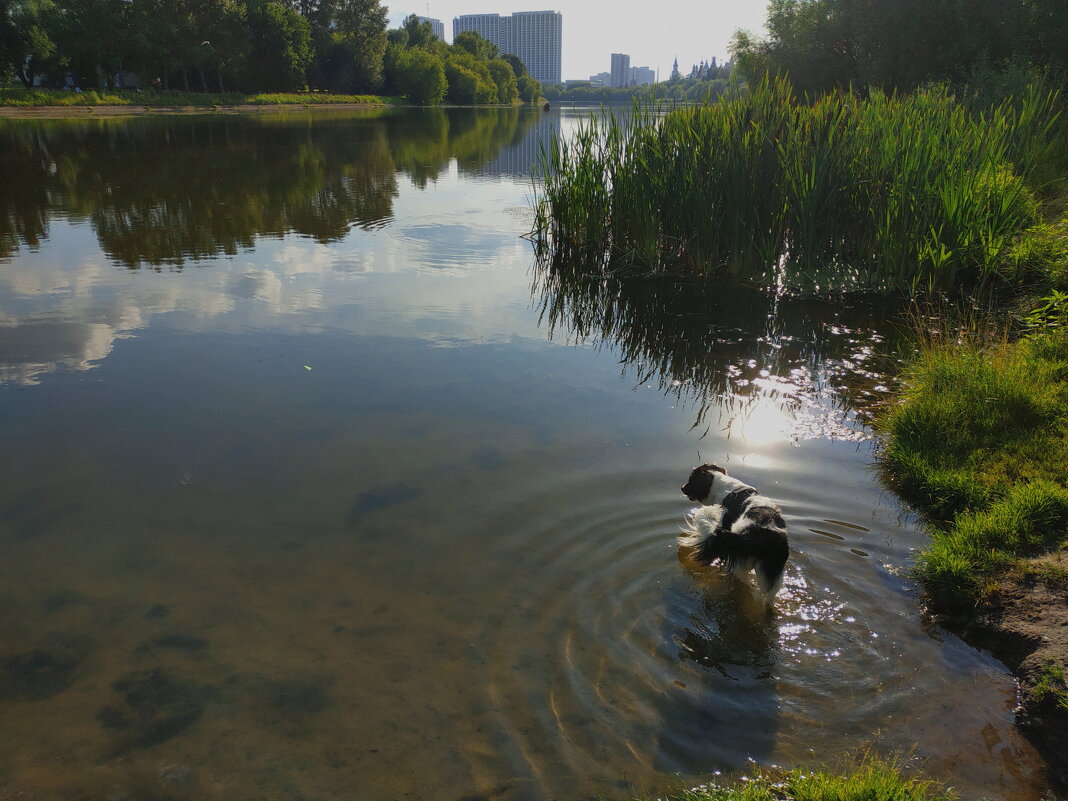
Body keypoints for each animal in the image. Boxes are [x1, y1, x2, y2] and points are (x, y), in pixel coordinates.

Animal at [679, 463, 790, 602]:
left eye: (691, 479)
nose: (682, 487)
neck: (726, 487)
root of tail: (762, 535)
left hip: (741, 565)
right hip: (773, 573)